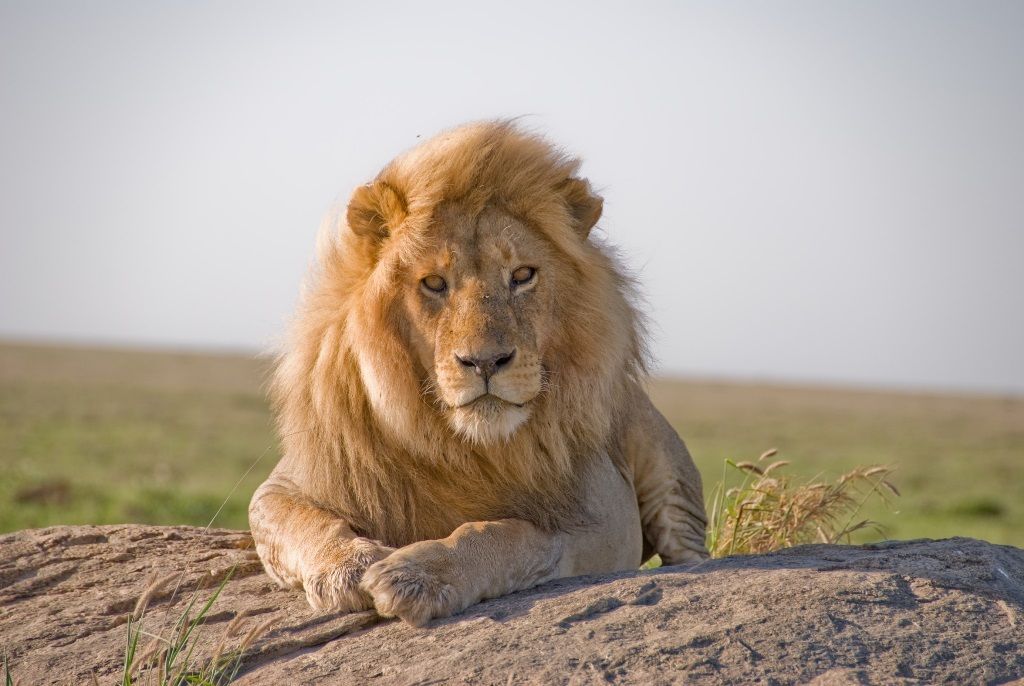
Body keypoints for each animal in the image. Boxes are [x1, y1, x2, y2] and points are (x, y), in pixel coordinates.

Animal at [251, 120, 708, 626]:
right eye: (434, 283)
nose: (485, 362)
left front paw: (418, 575)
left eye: (523, 275)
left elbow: (505, 534)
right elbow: (303, 522)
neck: (464, 446)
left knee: (691, 552)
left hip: (669, 475)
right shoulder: (286, 484)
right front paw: (348, 567)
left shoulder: (599, 518)